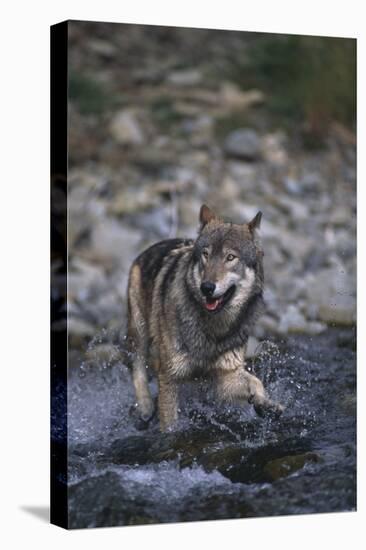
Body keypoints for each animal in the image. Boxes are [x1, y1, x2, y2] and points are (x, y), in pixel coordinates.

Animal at [127, 205, 284, 434]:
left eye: (230, 257)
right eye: (206, 255)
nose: (207, 287)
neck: (213, 328)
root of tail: (148, 249)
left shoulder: (225, 377)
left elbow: (256, 382)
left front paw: (266, 404)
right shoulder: (169, 375)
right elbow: (169, 422)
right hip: (139, 332)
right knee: (137, 366)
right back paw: (146, 407)